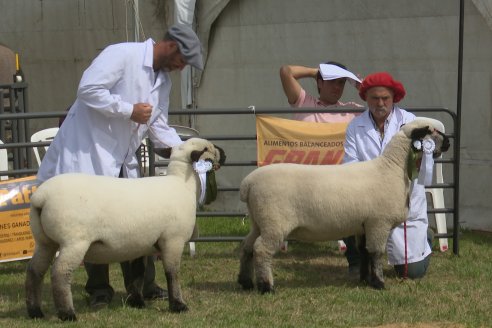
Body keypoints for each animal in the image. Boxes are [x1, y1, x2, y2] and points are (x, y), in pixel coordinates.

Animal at [26, 137, 226, 322]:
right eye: (208, 148)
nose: (224, 153)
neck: (183, 184)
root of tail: (41, 197)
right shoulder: (172, 240)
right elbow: (172, 274)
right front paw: (178, 305)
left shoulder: (141, 244)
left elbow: (137, 273)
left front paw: (136, 302)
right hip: (74, 241)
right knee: (60, 274)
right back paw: (67, 314)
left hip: (45, 241)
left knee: (35, 271)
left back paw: (35, 311)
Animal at [237, 120, 450, 292]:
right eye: (431, 131)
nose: (448, 142)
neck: (391, 167)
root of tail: (248, 184)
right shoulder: (379, 223)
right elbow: (376, 253)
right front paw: (378, 283)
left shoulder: (364, 225)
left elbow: (365, 252)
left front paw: (365, 279)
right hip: (274, 222)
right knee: (261, 250)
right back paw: (266, 286)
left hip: (259, 221)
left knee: (247, 246)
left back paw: (245, 282)